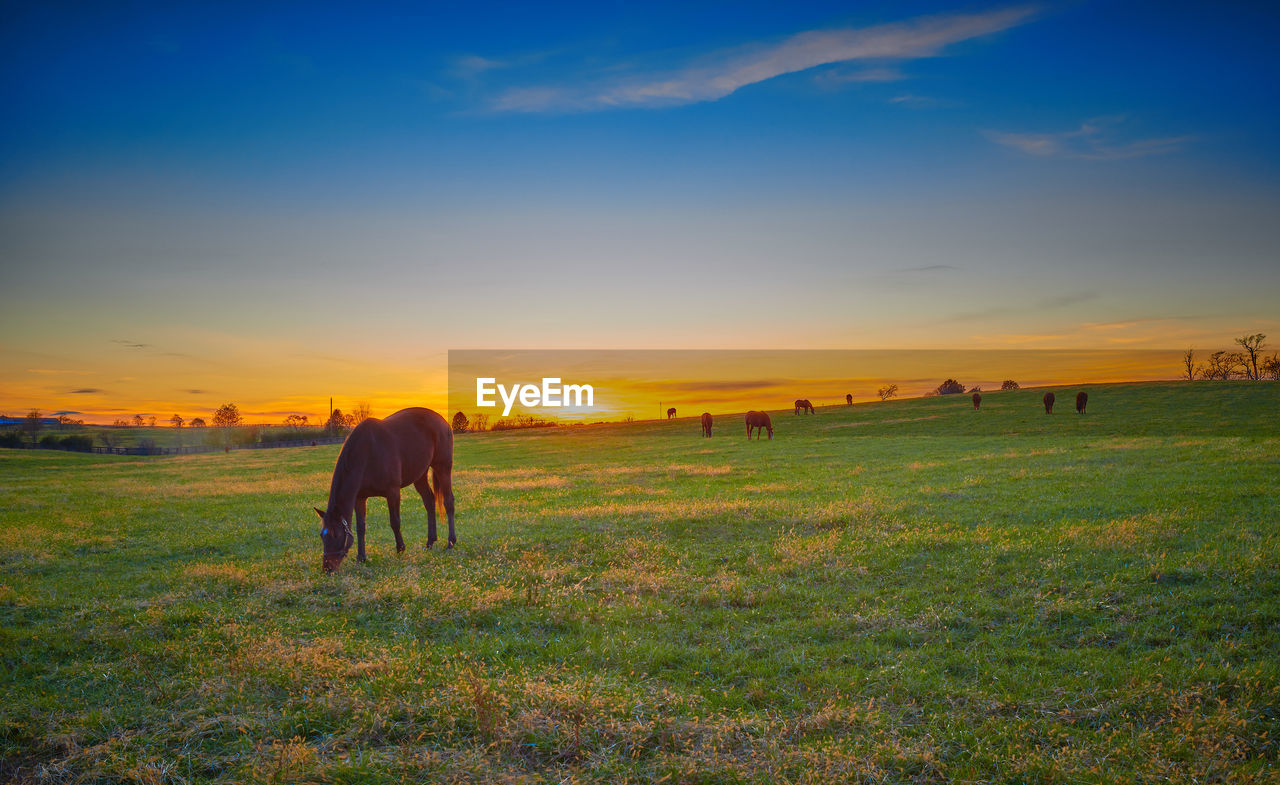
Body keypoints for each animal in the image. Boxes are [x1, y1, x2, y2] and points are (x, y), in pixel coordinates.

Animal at [313, 407, 455, 573]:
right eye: (322, 535)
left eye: (336, 535)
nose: (327, 569)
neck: (368, 452)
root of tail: (443, 421)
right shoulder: (360, 498)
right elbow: (361, 527)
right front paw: (361, 558)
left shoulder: (393, 492)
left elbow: (395, 522)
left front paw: (400, 549)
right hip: (420, 475)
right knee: (429, 501)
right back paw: (430, 542)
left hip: (442, 467)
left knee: (448, 502)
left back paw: (451, 543)